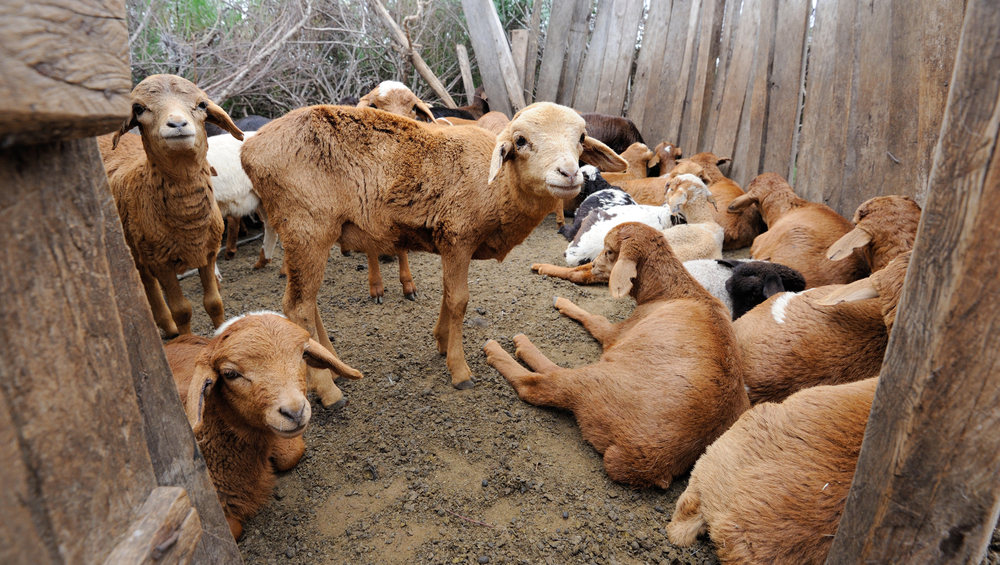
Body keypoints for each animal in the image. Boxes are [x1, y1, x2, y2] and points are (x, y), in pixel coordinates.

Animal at [97, 74, 243, 337]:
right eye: (138, 109)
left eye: (202, 104)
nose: (177, 124)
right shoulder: (161, 263)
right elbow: (182, 310)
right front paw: (187, 339)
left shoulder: (208, 252)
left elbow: (214, 303)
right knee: (146, 282)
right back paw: (169, 327)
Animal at [241, 102, 626, 394]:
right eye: (520, 140)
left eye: (580, 138)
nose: (569, 173)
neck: (496, 186)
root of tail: (249, 148)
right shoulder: (458, 236)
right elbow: (459, 300)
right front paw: (459, 369)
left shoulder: (449, 241)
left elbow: (446, 294)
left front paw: (441, 341)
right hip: (305, 225)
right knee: (297, 305)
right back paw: (327, 388)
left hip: (309, 233)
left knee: (307, 303)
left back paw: (331, 363)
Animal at [484, 222, 750, 488]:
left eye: (610, 251)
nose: (593, 265)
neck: (671, 291)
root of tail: (653, 463)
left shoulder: (617, 334)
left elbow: (595, 319)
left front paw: (564, 302)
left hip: (597, 383)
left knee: (537, 384)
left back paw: (507, 346)